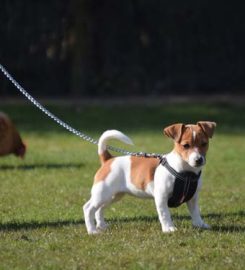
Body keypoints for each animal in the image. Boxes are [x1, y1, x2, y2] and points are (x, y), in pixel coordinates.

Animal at [83, 122, 216, 234]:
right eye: (186, 145)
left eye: (204, 144)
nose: (199, 160)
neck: (186, 172)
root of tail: (109, 159)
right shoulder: (161, 197)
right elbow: (165, 214)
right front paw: (169, 228)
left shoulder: (193, 198)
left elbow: (196, 213)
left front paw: (200, 224)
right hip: (102, 193)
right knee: (88, 208)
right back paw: (92, 231)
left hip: (113, 196)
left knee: (99, 209)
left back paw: (102, 226)